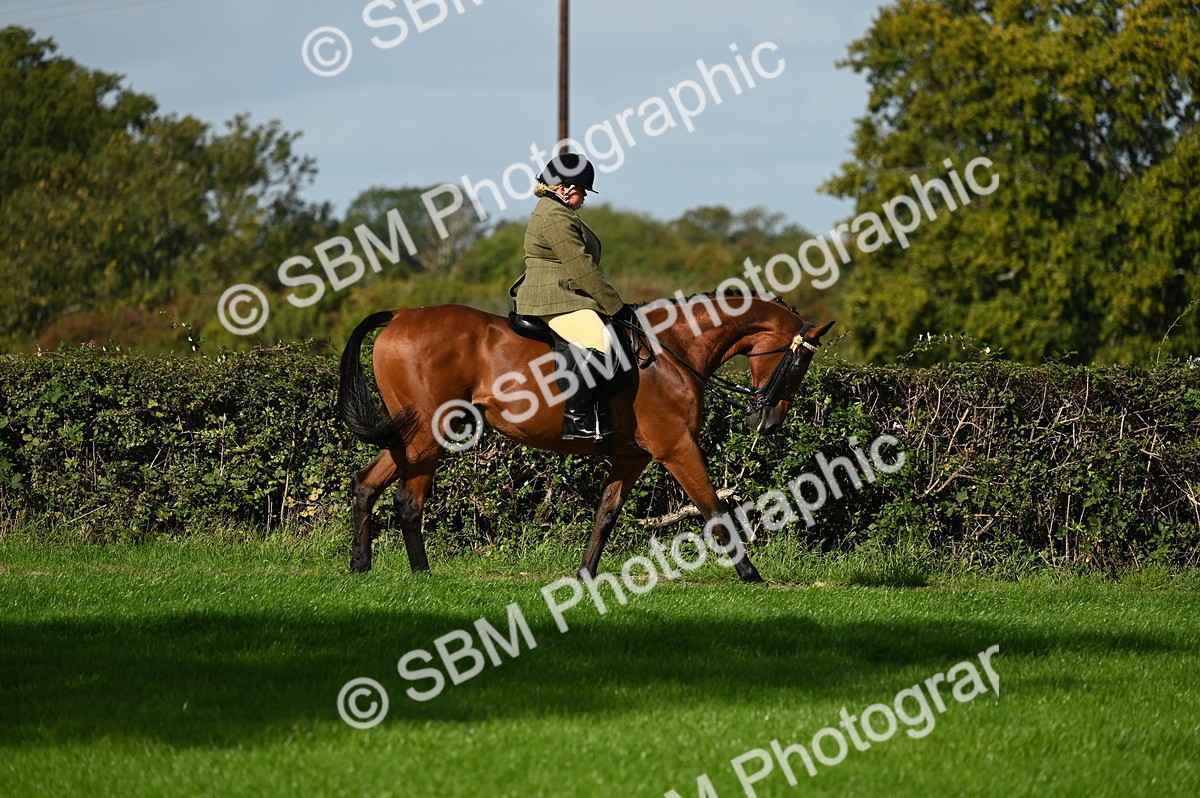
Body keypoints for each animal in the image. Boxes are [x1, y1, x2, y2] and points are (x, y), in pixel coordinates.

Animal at [336, 291, 835, 583]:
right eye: (799, 364)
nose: (768, 422)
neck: (672, 350)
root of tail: (400, 315)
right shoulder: (677, 448)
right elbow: (714, 509)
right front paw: (751, 574)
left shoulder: (633, 458)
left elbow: (605, 515)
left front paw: (585, 575)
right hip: (430, 435)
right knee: (408, 499)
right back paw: (422, 573)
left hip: (410, 438)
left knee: (366, 483)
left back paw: (361, 566)